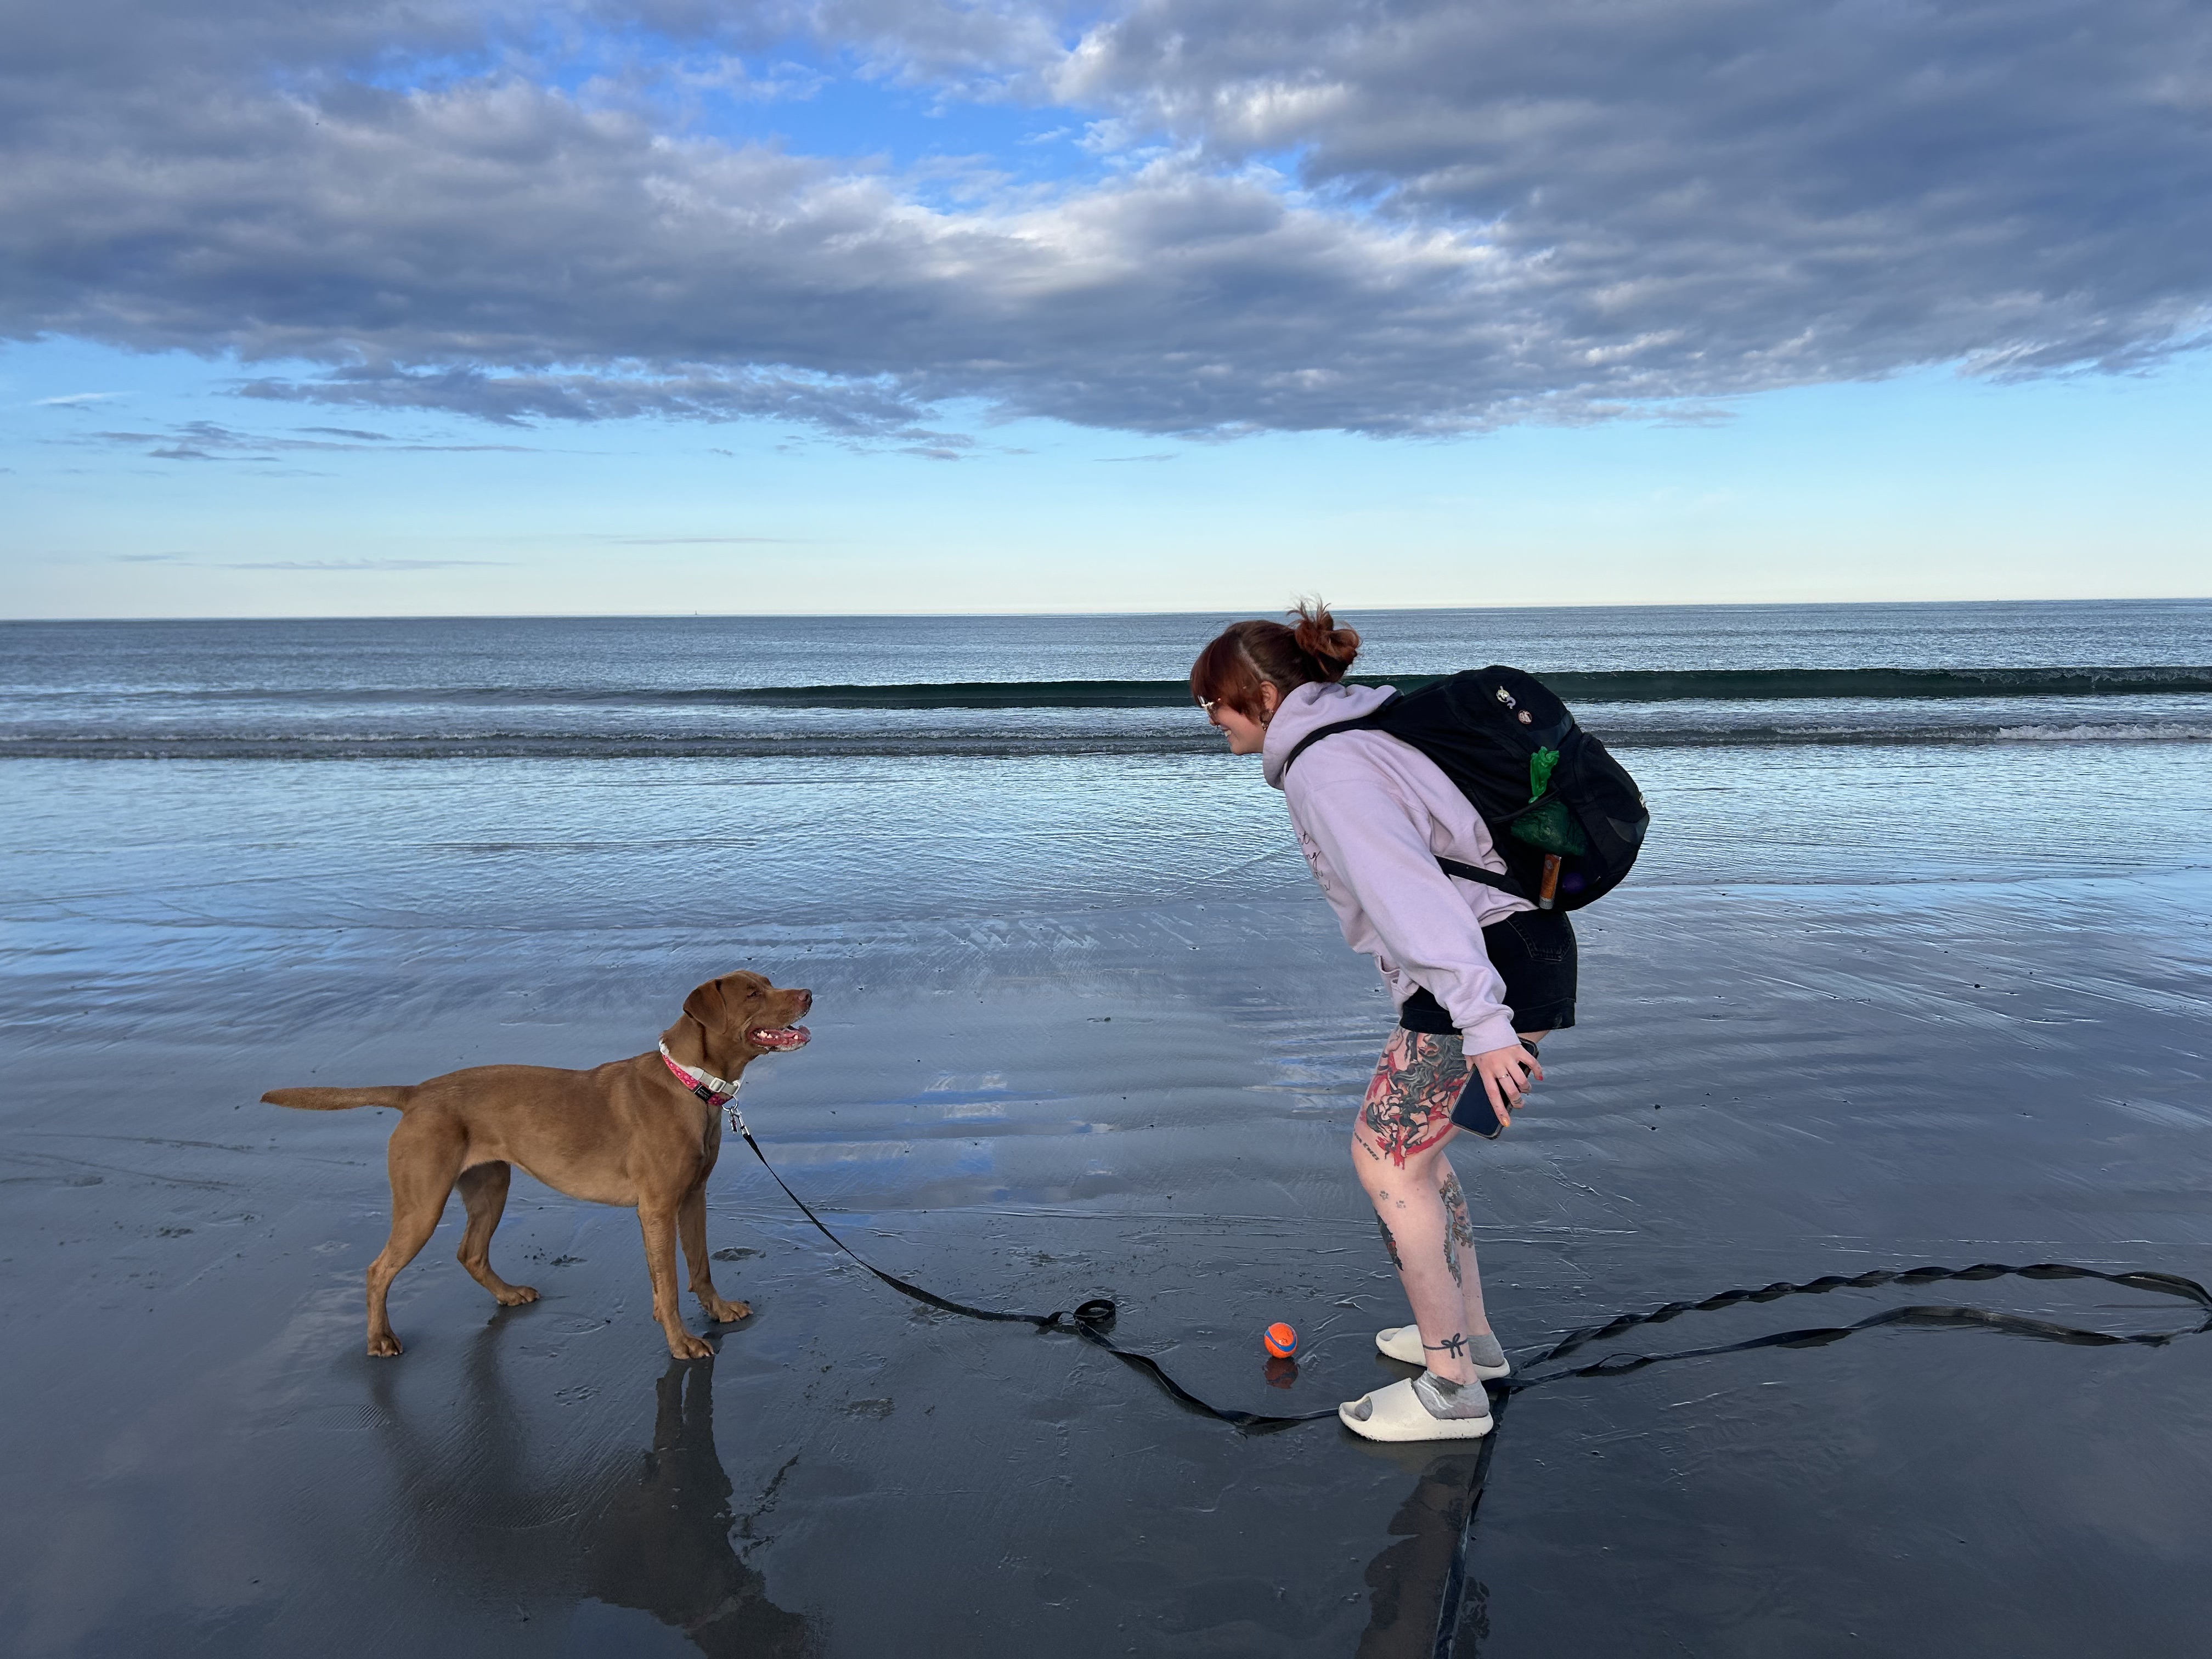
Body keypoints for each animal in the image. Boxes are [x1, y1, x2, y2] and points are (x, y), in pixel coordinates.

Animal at [261, 973, 814, 1362]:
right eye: (752, 994)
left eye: (769, 981)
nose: (809, 993)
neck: (692, 1085)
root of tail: (416, 1093)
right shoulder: (657, 1209)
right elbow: (669, 1285)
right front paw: (681, 1342)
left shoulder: (693, 1196)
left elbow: (700, 1266)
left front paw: (718, 1311)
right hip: (422, 1204)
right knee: (379, 1269)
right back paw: (380, 1339)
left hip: (490, 1186)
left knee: (470, 1253)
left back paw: (507, 1295)